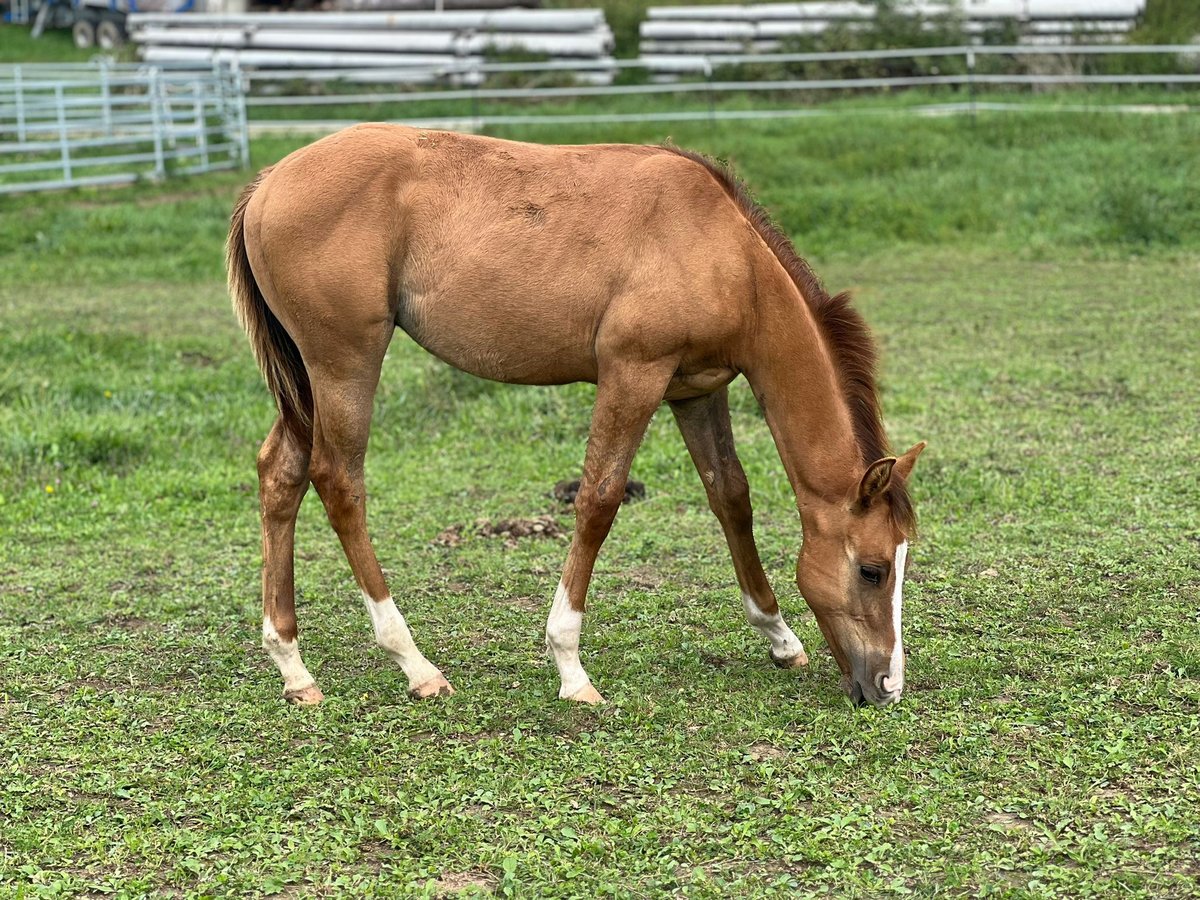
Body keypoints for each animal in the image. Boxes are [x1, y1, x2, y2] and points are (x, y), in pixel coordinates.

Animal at [231, 123, 926, 710]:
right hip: (346, 364)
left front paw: (780, 638)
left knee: (281, 474)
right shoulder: (633, 374)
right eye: (872, 569)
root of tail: (269, 183)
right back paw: (416, 664)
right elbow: (599, 499)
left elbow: (730, 496)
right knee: (338, 482)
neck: (723, 252)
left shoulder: (696, 391)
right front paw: (569, 665)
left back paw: (293, 667)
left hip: (306, 380)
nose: (886, 686)